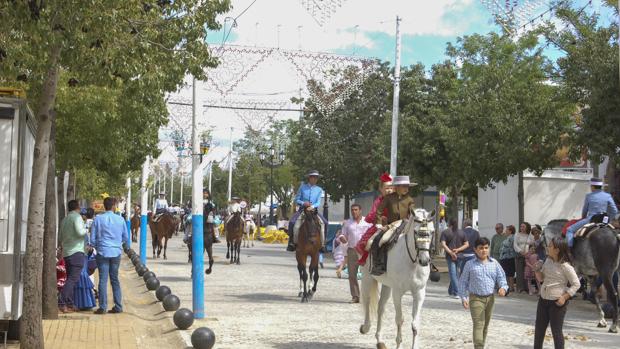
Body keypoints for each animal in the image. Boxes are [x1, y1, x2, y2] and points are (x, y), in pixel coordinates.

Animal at [360, 207, 434, 348]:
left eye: (432, 232)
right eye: (415, 232)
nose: (424, 260)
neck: (412, 262)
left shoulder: (419, 293)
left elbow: (415, 324)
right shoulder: (397, 293)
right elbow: (400, 319)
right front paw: (399, 343)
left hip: (387, 285)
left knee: (381, 308)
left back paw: (380, 341)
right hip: (367, 278)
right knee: (367, 301)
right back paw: (365, 327)